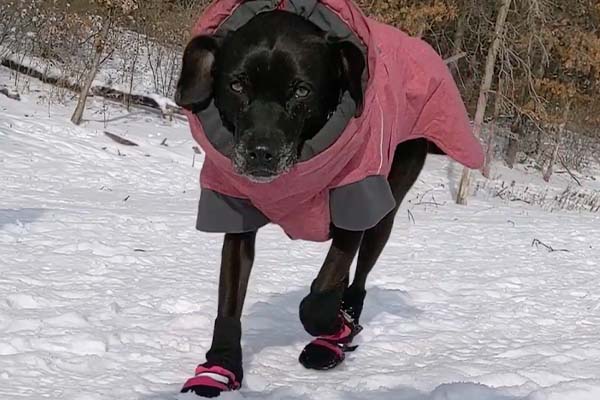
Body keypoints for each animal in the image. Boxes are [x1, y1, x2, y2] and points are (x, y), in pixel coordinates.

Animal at [176, 8, 428, 396]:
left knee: (358, 275)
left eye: (301, 90)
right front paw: (220, 367)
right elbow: (230, 302)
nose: (260, 153)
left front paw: (333, 326)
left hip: (386, 204)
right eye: (237, 85)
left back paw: (338, 331)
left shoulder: (354, 202)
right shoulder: (235, 216)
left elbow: (318, 298)